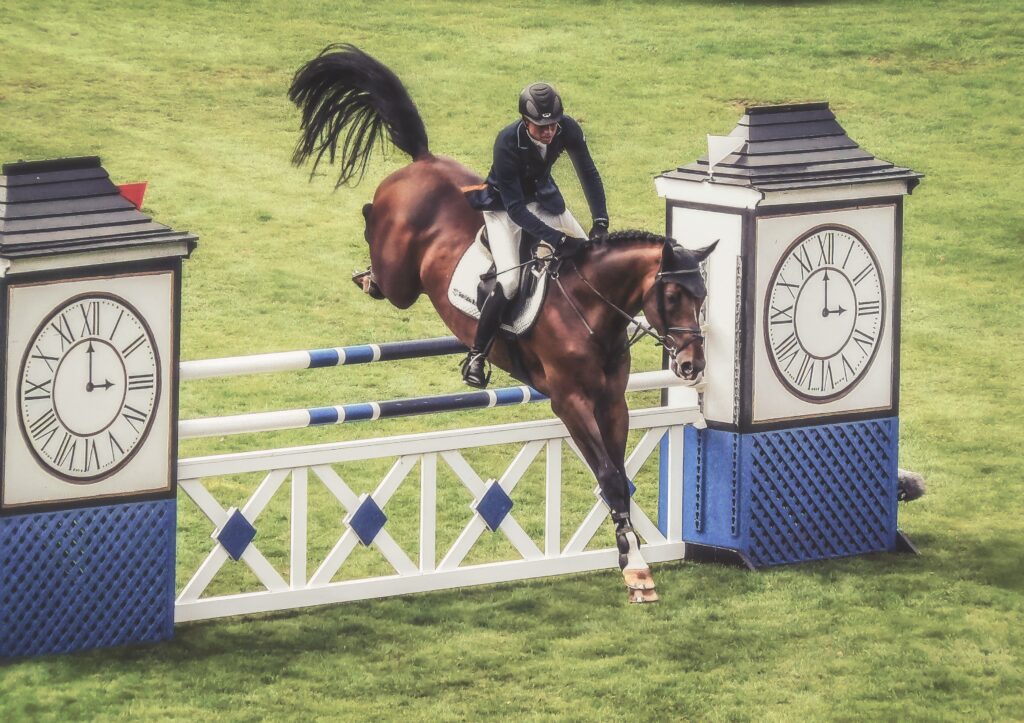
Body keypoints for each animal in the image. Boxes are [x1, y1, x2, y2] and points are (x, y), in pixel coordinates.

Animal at [292, 42, 716, 598]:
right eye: (669, 294)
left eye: (702, 296)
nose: (690, 366)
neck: (591, 311)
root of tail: (423, 161)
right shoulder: (569, 401)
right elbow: (606, 474)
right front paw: (636, 567)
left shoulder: (612, 400)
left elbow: (619, 480)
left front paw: (633, 559)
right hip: (402, 276)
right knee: (381, 255)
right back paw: (367, 274)